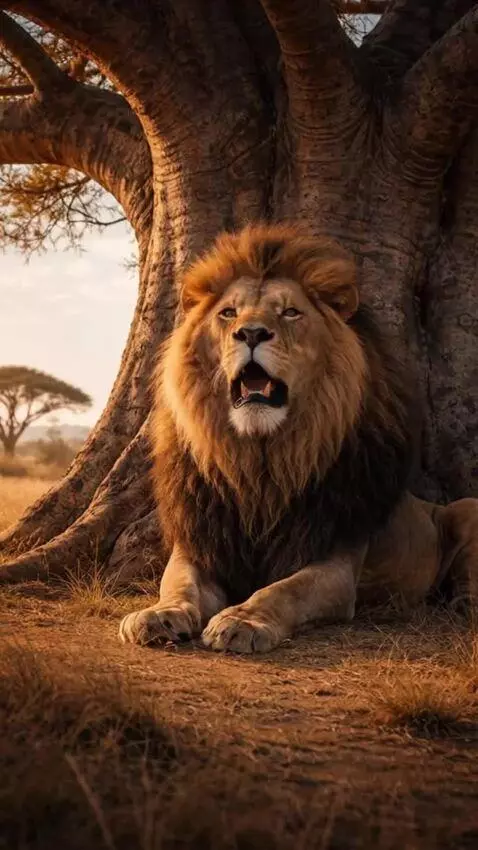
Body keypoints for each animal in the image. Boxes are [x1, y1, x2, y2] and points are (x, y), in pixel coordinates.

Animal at [119, 223, 478, 653]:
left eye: (290, 312)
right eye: (229, 313)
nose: (251, 333)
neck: (260, 460)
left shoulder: (335, 562)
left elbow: (283, 590)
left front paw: (242, 620)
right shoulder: (201, 543)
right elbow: (178, 584)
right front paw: (159, 615)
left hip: (468, 508)